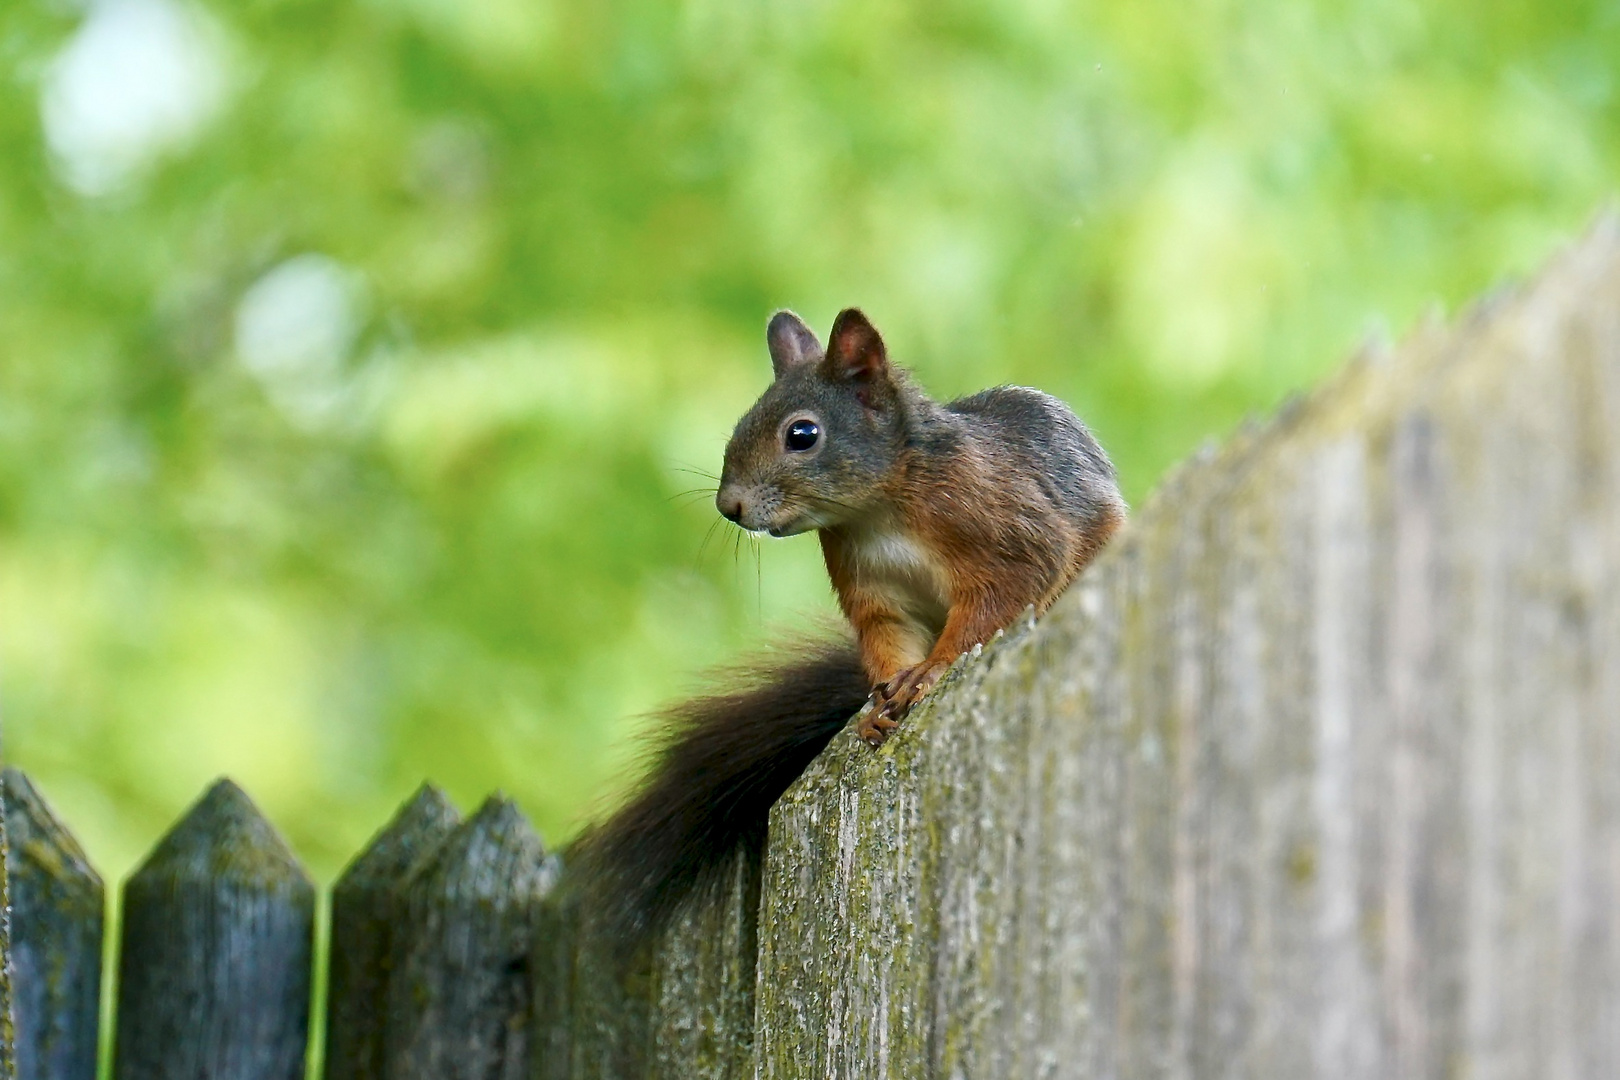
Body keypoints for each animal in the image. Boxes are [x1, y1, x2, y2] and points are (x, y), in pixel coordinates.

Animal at [576, 306, 1121, 945]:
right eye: (741, 424)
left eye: (802, 435)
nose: (728, 506)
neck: (877, 512)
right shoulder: (874, 593)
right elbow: (887, 639)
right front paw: (880, 702)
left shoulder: (1009, 534)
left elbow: (993, 604)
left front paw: (929, 674)